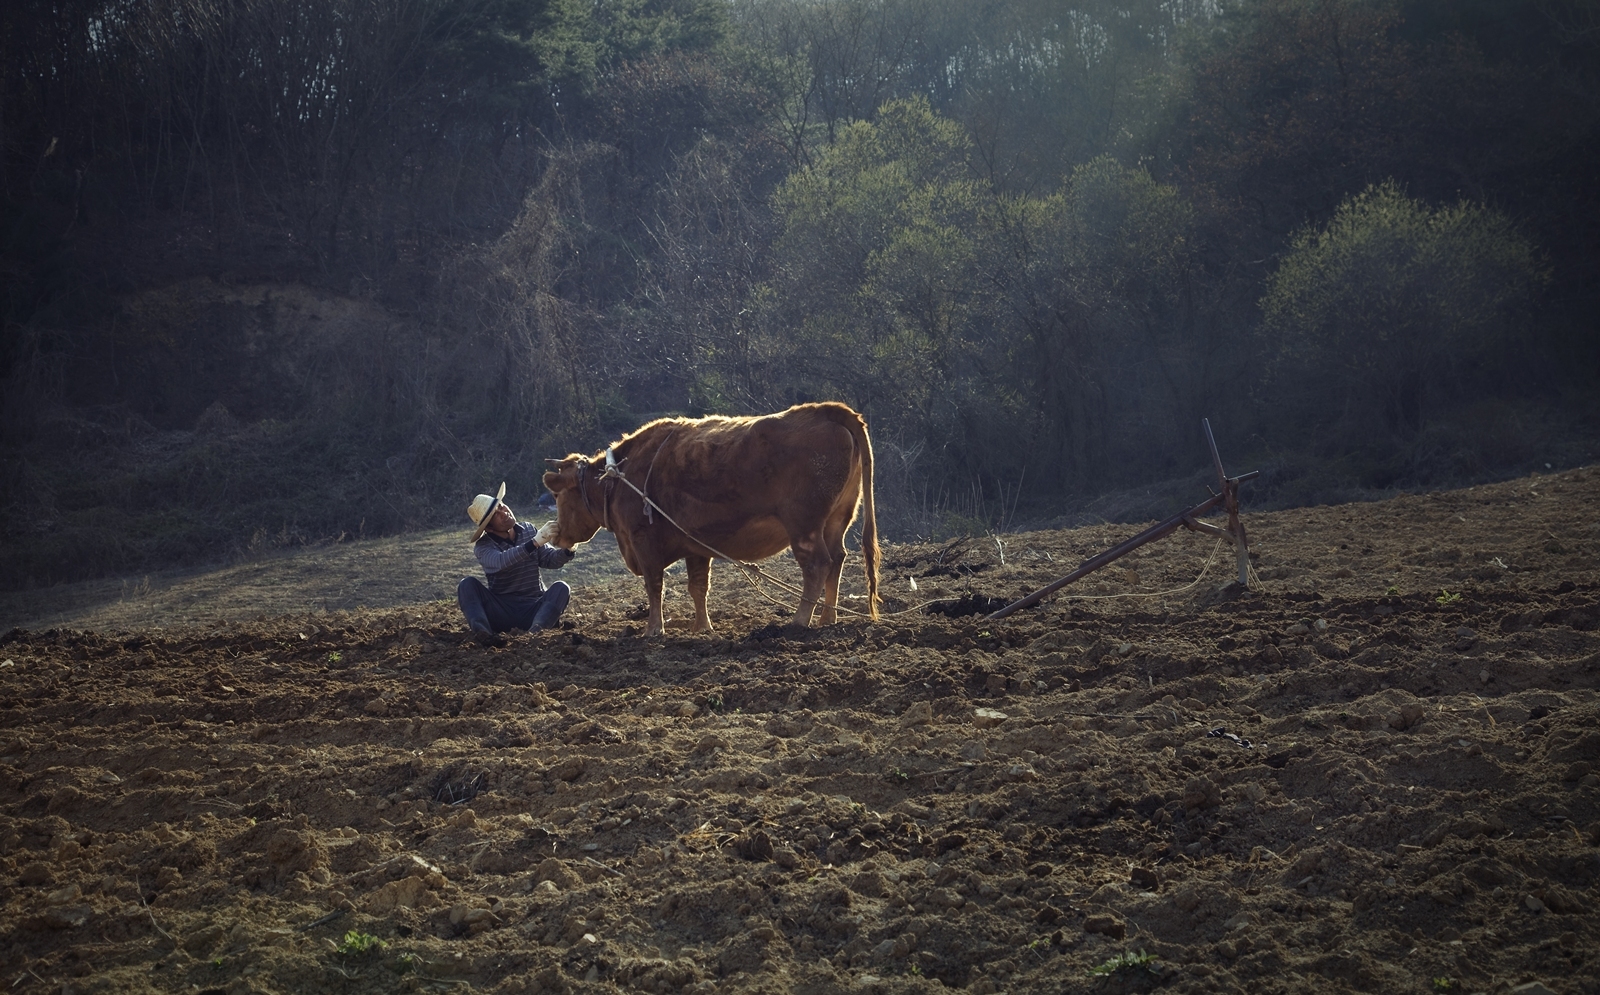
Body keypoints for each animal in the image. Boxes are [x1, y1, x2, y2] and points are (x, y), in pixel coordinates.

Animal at [541, 402, 880, 637]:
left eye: (557, 496)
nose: (559, 536)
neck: (620, 477)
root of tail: (825, 411)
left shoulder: (643, 541)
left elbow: (655, 585)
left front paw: (654, 629)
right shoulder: (695, 546)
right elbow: (698, 587)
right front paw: (703, 627)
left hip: (804, 526)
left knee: (817, 565)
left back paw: (800, 620)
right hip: (837, 520)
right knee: (836, 560)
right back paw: (828, 618)